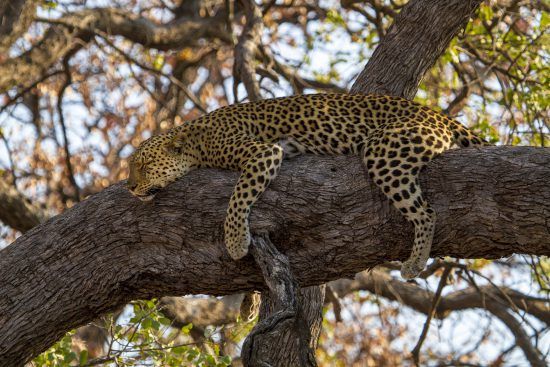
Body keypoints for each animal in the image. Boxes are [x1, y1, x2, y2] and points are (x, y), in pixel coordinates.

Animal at [126, 93, 488, 280]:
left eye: (142, 165)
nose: (129, 187)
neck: (195, 139)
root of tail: (440, 116)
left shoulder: (263, 153)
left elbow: (237, 198)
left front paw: (236, 241)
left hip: (385, 151)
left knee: (426, 212)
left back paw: (414, 262)